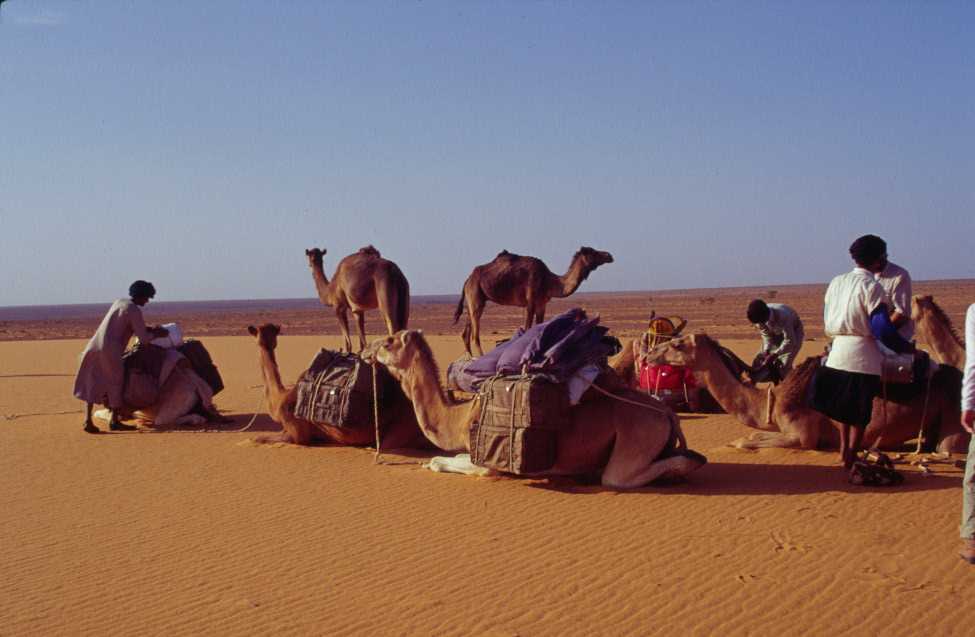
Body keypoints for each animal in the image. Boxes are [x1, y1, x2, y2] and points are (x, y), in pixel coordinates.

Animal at [362, 328, 704, 486]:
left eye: (389, 341)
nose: (366, 350)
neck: (458, 419)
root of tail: (667, 413)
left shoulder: (486, 464)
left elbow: (438, 461)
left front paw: (428, 464)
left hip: (634, 442)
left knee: (620, 476)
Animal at [454, 246, 612, 356]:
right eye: (593, 252)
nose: (609, 255)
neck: (549, 281)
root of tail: (467, 279)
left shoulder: (542, 303)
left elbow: (539, 326)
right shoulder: (530, 301)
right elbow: (527, 328)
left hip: (473, 299)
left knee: (466, 332)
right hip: (476, 295)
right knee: (475, 334)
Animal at [644, 330, 972, 454]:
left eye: (677, 344)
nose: (648, 354)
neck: (773, 401)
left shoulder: (802, 435)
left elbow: (746, 440)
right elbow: (749, 436)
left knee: (948, 447)